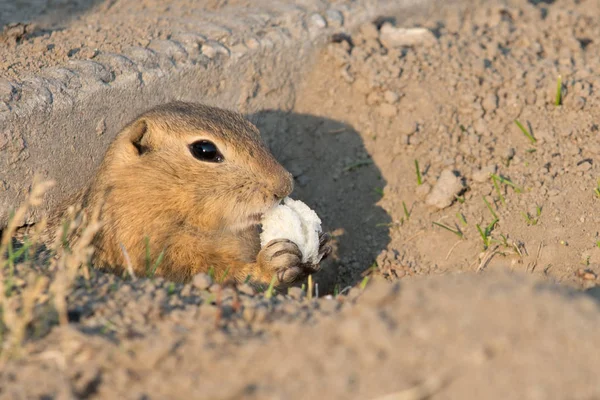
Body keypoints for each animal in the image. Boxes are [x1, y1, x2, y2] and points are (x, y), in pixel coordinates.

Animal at [45, 101, 332, 286]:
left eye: (253, 130)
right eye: (204, 150)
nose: (284, 185)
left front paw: (324, 243)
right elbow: (215, 274)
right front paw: (273, 262)